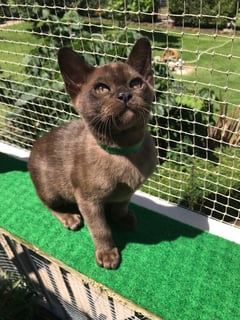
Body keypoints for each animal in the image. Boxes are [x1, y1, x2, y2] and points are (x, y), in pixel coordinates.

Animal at [28, 37, 158, 268]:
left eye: (135, 83)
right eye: (101, 88)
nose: (125, 94)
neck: (123, 152)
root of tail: (35, 145)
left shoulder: (127, 192)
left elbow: (122, 204)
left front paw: (122, 217)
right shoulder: (88, 200)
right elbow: (100, 229)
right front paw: (107, 254)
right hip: (52, 192)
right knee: (47, 204)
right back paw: (69, 218)